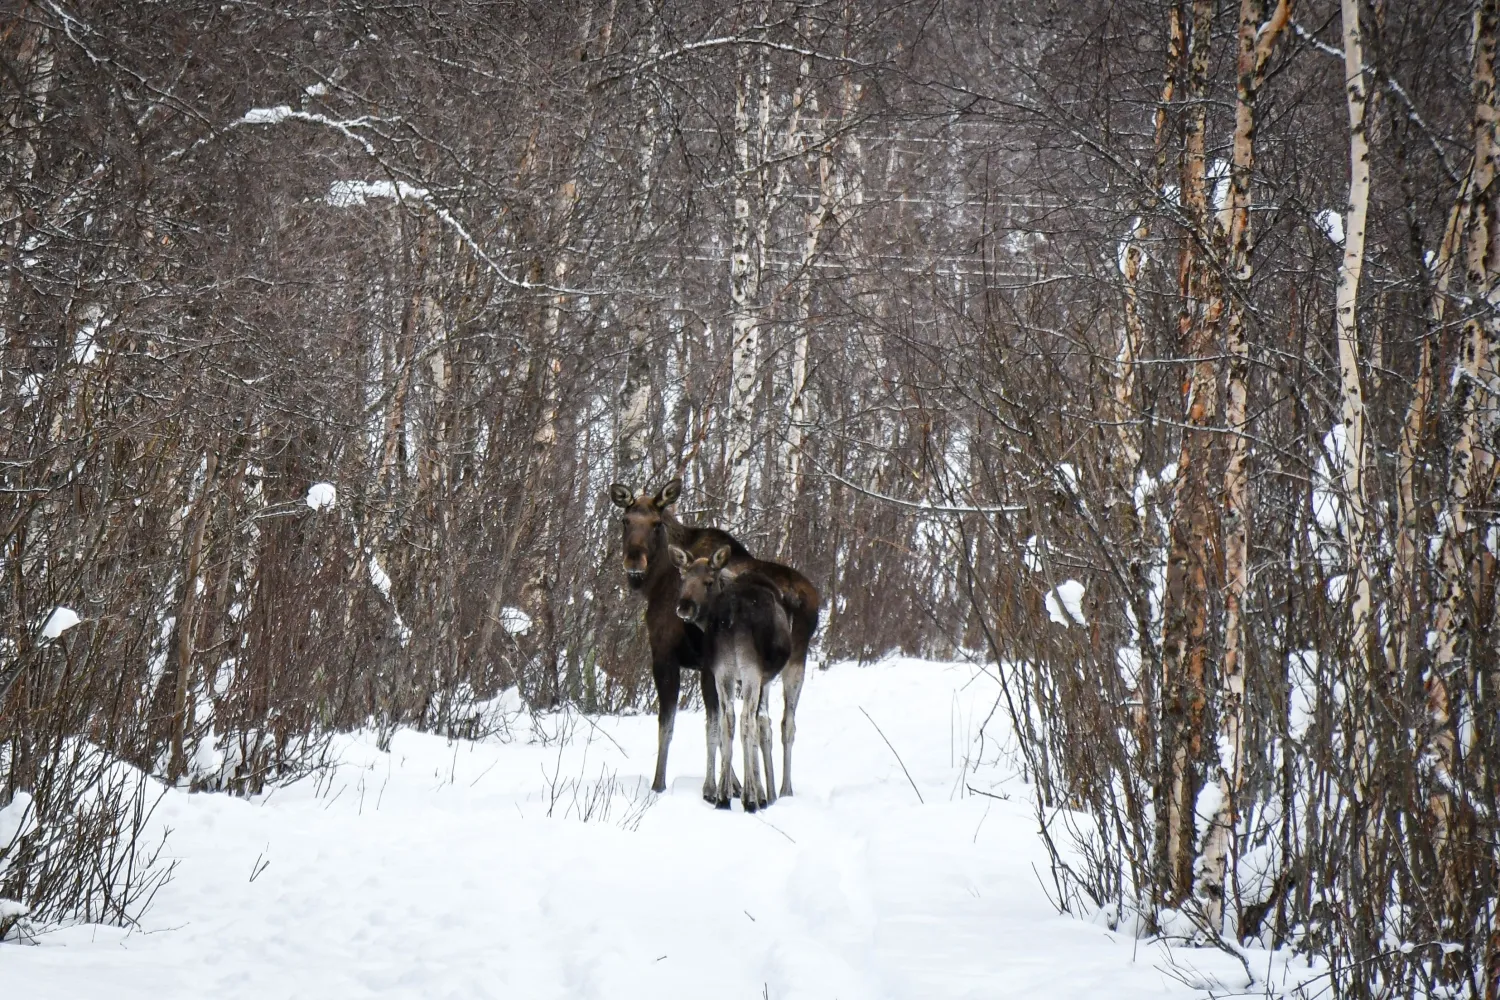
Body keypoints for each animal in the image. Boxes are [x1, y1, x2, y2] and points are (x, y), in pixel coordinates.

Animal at [670, 544, 789, 811]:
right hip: (749, 669)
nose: (684, 607)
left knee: (727, 719)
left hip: (725, 670)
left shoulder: (718, 673)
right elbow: (761, 725)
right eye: (682, 578)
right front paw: (762, 793)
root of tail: (732, 612)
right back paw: (749, 798)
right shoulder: (762, 679)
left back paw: (724, 796)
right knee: (745, 720)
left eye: (708, 581)